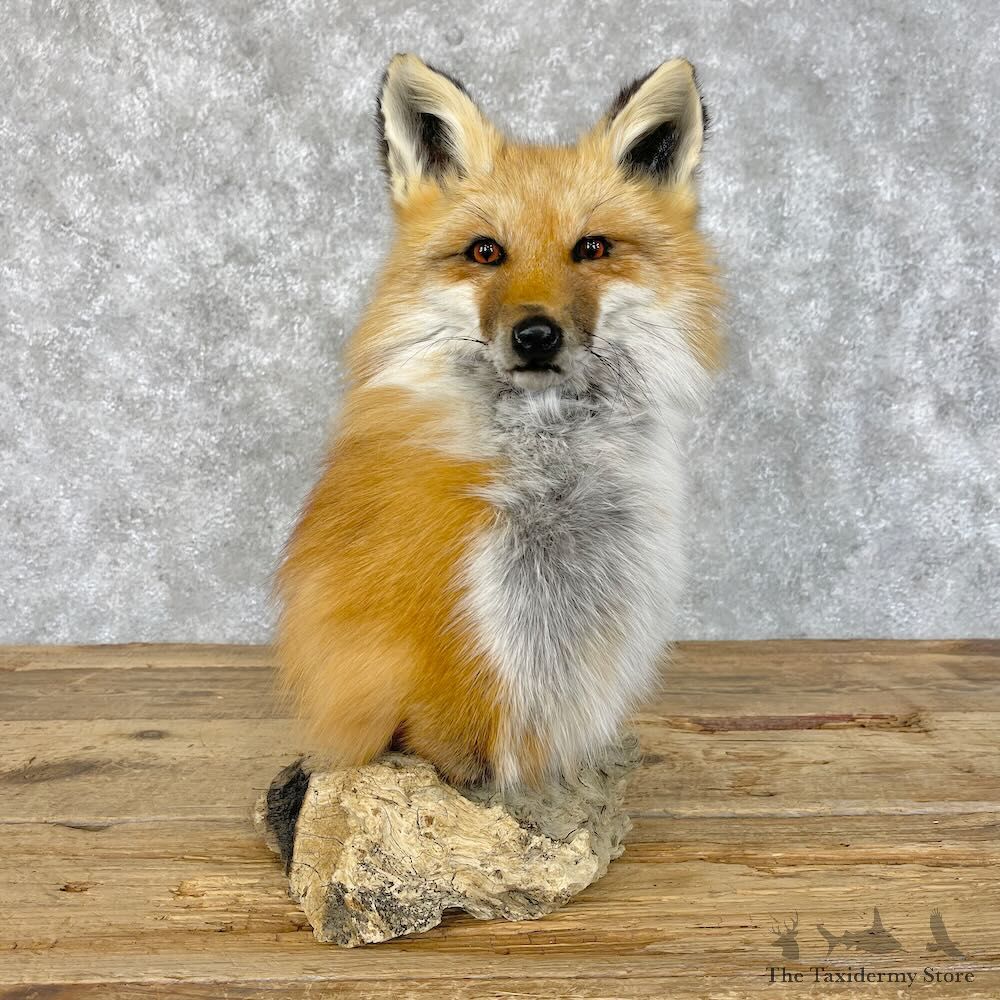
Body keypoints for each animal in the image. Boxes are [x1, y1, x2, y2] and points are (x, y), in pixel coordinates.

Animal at [276, 53, 721, 789]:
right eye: (486, 252)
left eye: (591, 248)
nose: (535, 335)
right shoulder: (462, 614)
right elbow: (452, 734)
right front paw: (477, 791)